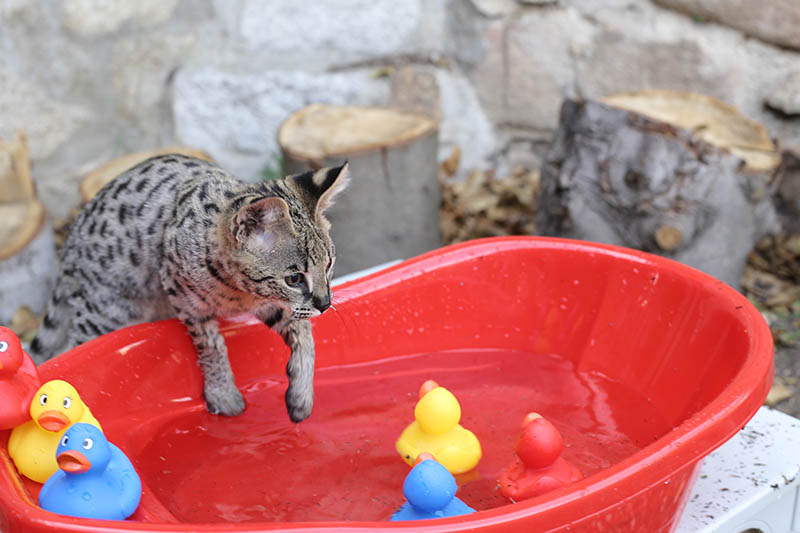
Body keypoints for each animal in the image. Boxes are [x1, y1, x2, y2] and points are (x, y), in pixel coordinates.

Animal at [29, 154, 348, 420]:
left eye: (329, 264)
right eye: (294, 278)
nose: (325, 304)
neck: (240, 291)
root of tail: (68, 246)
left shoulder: (271, 304)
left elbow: (304, 335)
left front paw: (301, 394)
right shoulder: (181, 292)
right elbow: (211, 343)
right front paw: (223, 393)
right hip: (106, 314)